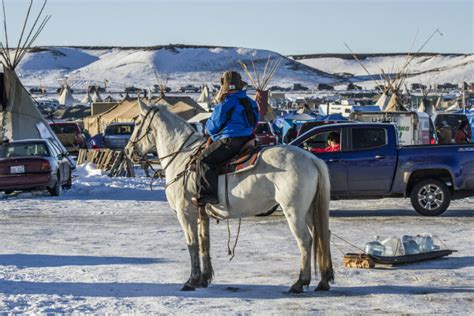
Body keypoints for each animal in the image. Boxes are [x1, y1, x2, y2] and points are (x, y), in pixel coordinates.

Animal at [126, 100, 334, 292]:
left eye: (137, 123)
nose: (128, 151)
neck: (182, 157)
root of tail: (312, 159)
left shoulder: (186, 213)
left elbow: (192, 244)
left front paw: (191, 281)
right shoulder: (202, 214)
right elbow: (204, 243)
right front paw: (204, 279)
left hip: (294, 212)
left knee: (305, 240)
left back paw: (300, 283)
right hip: (309, 211)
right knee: (322, 235)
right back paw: (323, 281)